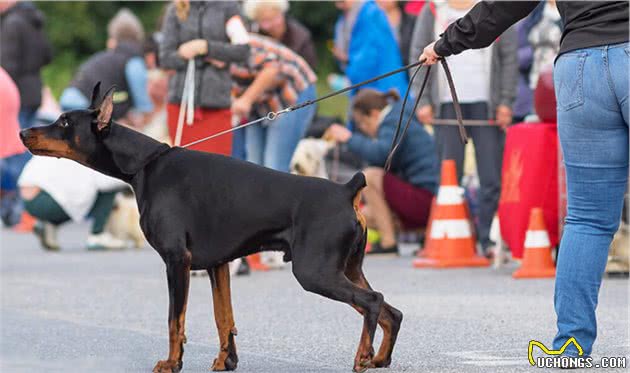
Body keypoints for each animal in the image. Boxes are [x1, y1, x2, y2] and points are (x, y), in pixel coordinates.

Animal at [21, 84, 404, 372]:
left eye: (65, 123)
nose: (23, 132)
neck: (144, 165)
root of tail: (347, 188)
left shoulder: (177, 260)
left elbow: (175, 320)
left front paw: (172, 363)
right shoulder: (218, 264)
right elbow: (223, 317)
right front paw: (225, 361)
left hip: (314, 271)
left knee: (373, 302)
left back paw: (363, 357)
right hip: (346, 268)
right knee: (392, 311)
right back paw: (379, 358)